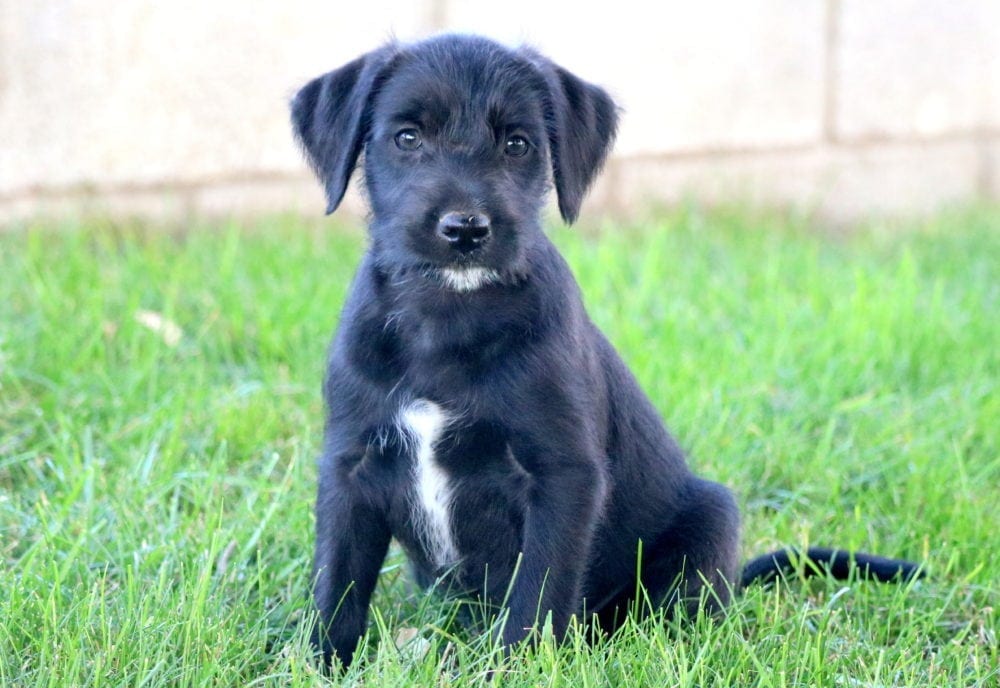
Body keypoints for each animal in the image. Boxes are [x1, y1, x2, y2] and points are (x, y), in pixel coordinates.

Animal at [292, 33, 920, 672]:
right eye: (407, 137)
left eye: (518, 144)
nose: (465, 229)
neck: (447, 318)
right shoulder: (350, 466)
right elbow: (338, 582)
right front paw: (322, 662)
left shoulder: (562, 476)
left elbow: (538, 591)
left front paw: (515, 668)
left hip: (710, 520)